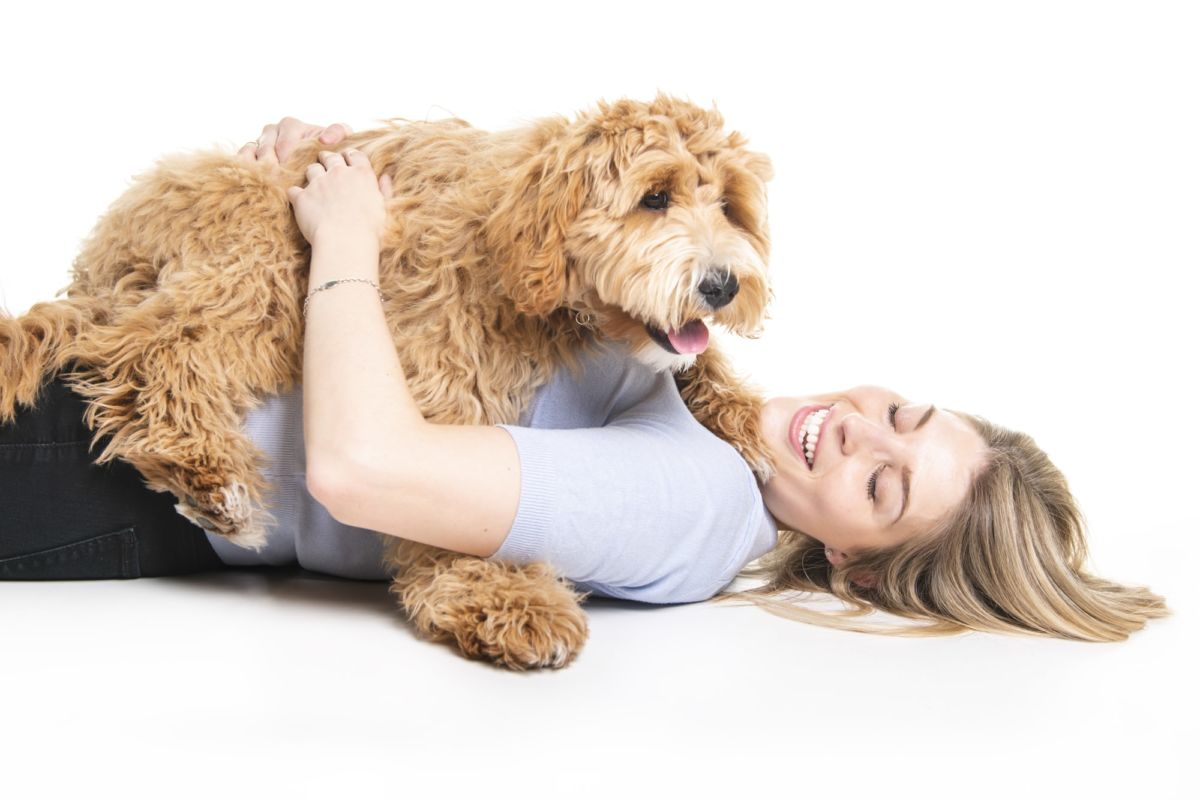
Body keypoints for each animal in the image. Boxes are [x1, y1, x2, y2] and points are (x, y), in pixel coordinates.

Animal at [0, 92, 777, 671]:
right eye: (655, 198)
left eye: (730, 206)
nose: (723, 285)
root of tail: (98, 269)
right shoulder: (440, 360)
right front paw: (502, 597)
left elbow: (698, 362)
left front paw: (743, 419)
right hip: (262, 249)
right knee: (148, 350)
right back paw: (207, 475)